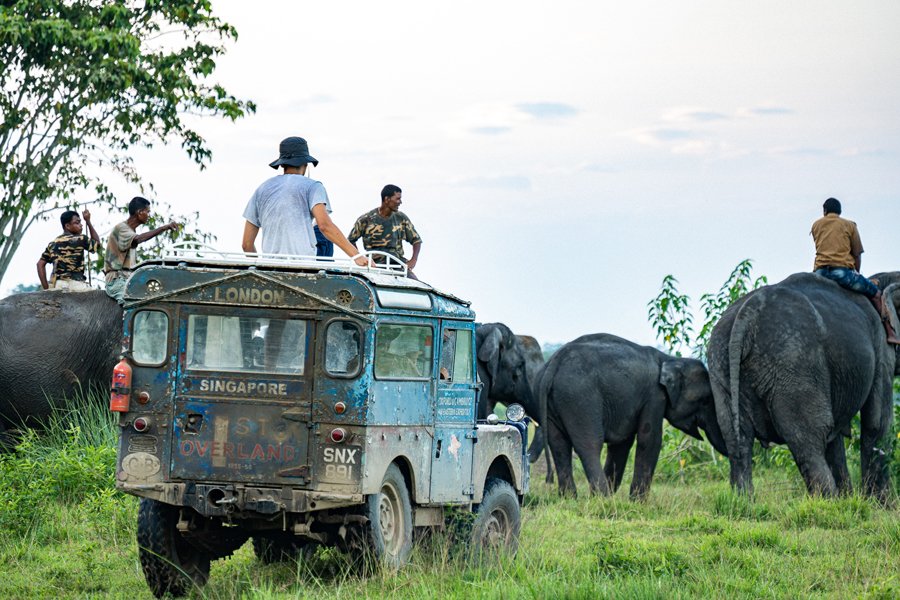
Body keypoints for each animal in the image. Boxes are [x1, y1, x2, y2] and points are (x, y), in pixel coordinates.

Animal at [536, 336, 728, 500]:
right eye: (706, 400)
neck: (670, 359)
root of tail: (555, 362)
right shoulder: (654, 396)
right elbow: (650, 440)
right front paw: (637, 502)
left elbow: (621, 444)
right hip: (580, 399)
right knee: (589, 445)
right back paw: (602, 499)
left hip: (553, 401)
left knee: (558, 445)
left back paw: (570, 499)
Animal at [708, 272, 896, 502]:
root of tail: (746, 317)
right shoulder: (882, 343)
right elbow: (877, 423)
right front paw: (880, 505)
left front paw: (852, 499)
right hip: (793, 362)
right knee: (810, 435)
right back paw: (828, 503)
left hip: (721, 363)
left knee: (737, 438)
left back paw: (745, 502)